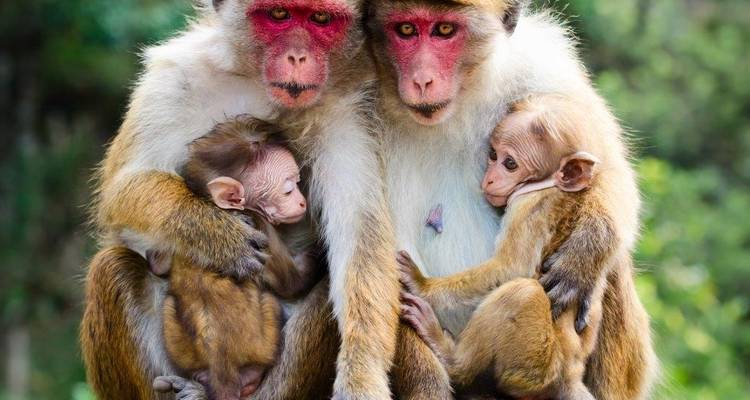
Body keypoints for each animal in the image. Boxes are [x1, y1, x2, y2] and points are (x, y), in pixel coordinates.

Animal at [154, 119, 322, 400]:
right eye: (289, 190)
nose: (302, 202)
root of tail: (222, 365)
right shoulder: (261, 226)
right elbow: (291, 283)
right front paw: (320, 252)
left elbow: (159, 262)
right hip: (263, 344)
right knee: (271, 302)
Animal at [398, 94, 618, 400]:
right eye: (493, 155)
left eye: (510, 163)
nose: (489, 178)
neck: (548, 185)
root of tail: (570, 375)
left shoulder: (530, 205)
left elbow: (513, 268)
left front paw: (421, 285)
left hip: (535, 365)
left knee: (522, 293)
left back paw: (451, 358)